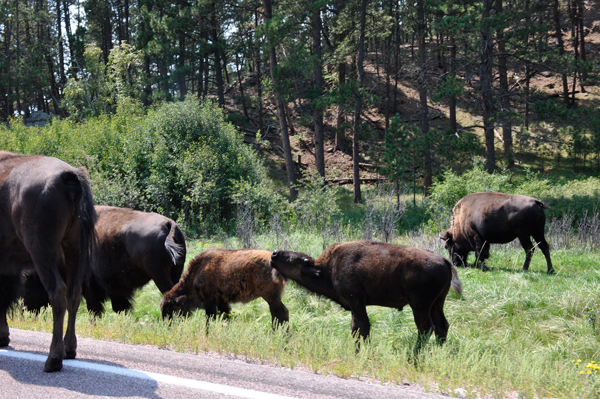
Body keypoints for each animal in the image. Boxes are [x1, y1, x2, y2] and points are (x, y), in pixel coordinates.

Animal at [0, 152, 96, 374]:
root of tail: (69, 177)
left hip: (41, 250)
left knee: (58, 292)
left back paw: (53, 360)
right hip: (75, 248)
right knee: (74, 294)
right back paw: (69, 350)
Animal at [23, 206, 186, 316]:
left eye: (29, 281)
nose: (26, 309)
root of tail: (168, 224)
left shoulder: (88, 284)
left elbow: (94, 307)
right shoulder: (116, 288)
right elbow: (120, 306)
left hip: (159, 276)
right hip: (174, 273)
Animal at [270, 242, 462, 354]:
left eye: (293, 259)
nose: (274, 253)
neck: (327, 268)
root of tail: (444, 260)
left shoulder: (356, 301)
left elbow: (363, 328)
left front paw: (365, 353)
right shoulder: (354, 305)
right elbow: (355, 329)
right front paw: (356, 353)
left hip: (420, 305)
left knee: (426, 328)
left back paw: (413, 356)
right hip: (437, 303)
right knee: (441, 326)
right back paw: (438, 352)